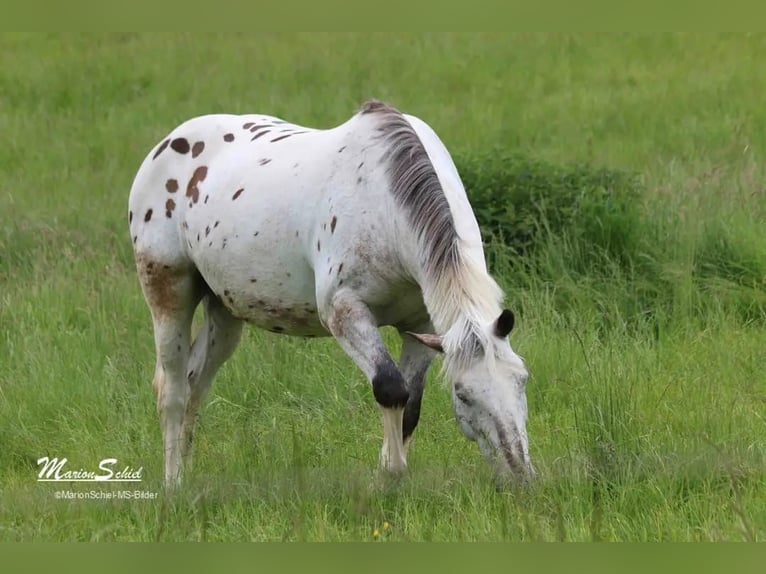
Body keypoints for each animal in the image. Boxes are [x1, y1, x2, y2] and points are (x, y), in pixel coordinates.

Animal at [128, 99, 533, 487]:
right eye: (463, 393)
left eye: (523, 379)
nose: (520, 475)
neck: (384, 206)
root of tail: (166, 145)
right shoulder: (345, 312)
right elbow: (390, 388)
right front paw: (391, 475)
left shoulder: (421, 327)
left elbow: (411, 406)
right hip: (167, 291)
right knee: (173, 390)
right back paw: (174, 484)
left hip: (224, 313)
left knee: (196, 383)